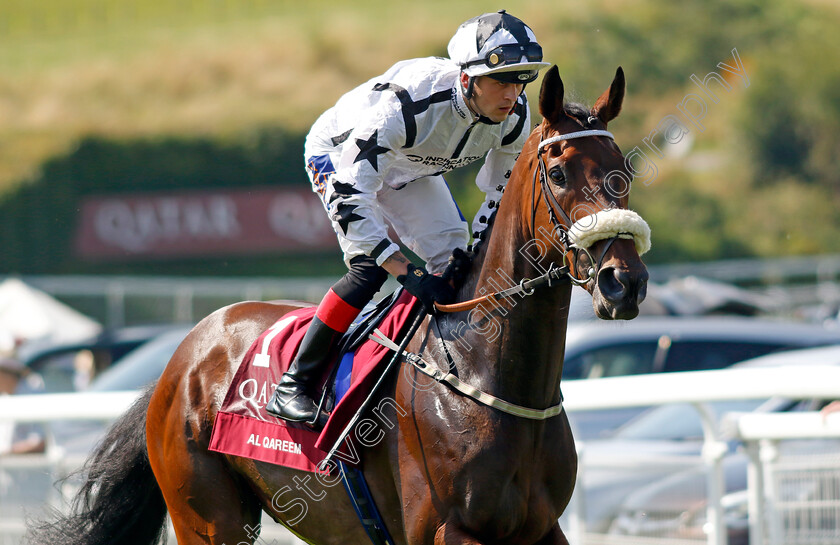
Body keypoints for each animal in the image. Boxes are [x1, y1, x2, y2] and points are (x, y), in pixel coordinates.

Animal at [29, 67, 648, 544]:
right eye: (559, 173)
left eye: (624, 170)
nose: (624, 282)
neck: (485, 373)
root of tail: (183, 354)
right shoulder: (445, 530)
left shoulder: (539, 528)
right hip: (206, 515)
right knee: (363, 258)